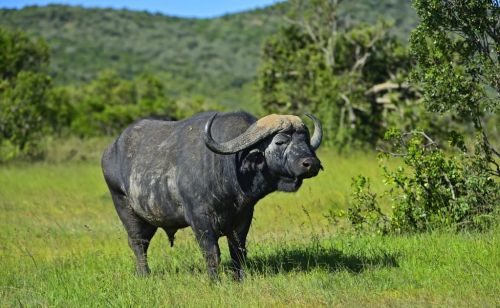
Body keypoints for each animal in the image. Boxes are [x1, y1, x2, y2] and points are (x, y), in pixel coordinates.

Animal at [100, 112, 324, 280]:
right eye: (280, 141)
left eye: (305, 140)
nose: (311, 163)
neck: (228, 168)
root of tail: (109, 152)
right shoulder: (200, 221)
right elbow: (212, 253)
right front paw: (214, 281)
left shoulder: (243, 218)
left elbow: (238, 251)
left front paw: (239, 278)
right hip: (125, 208)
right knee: (138, 243)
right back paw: (144, 274)